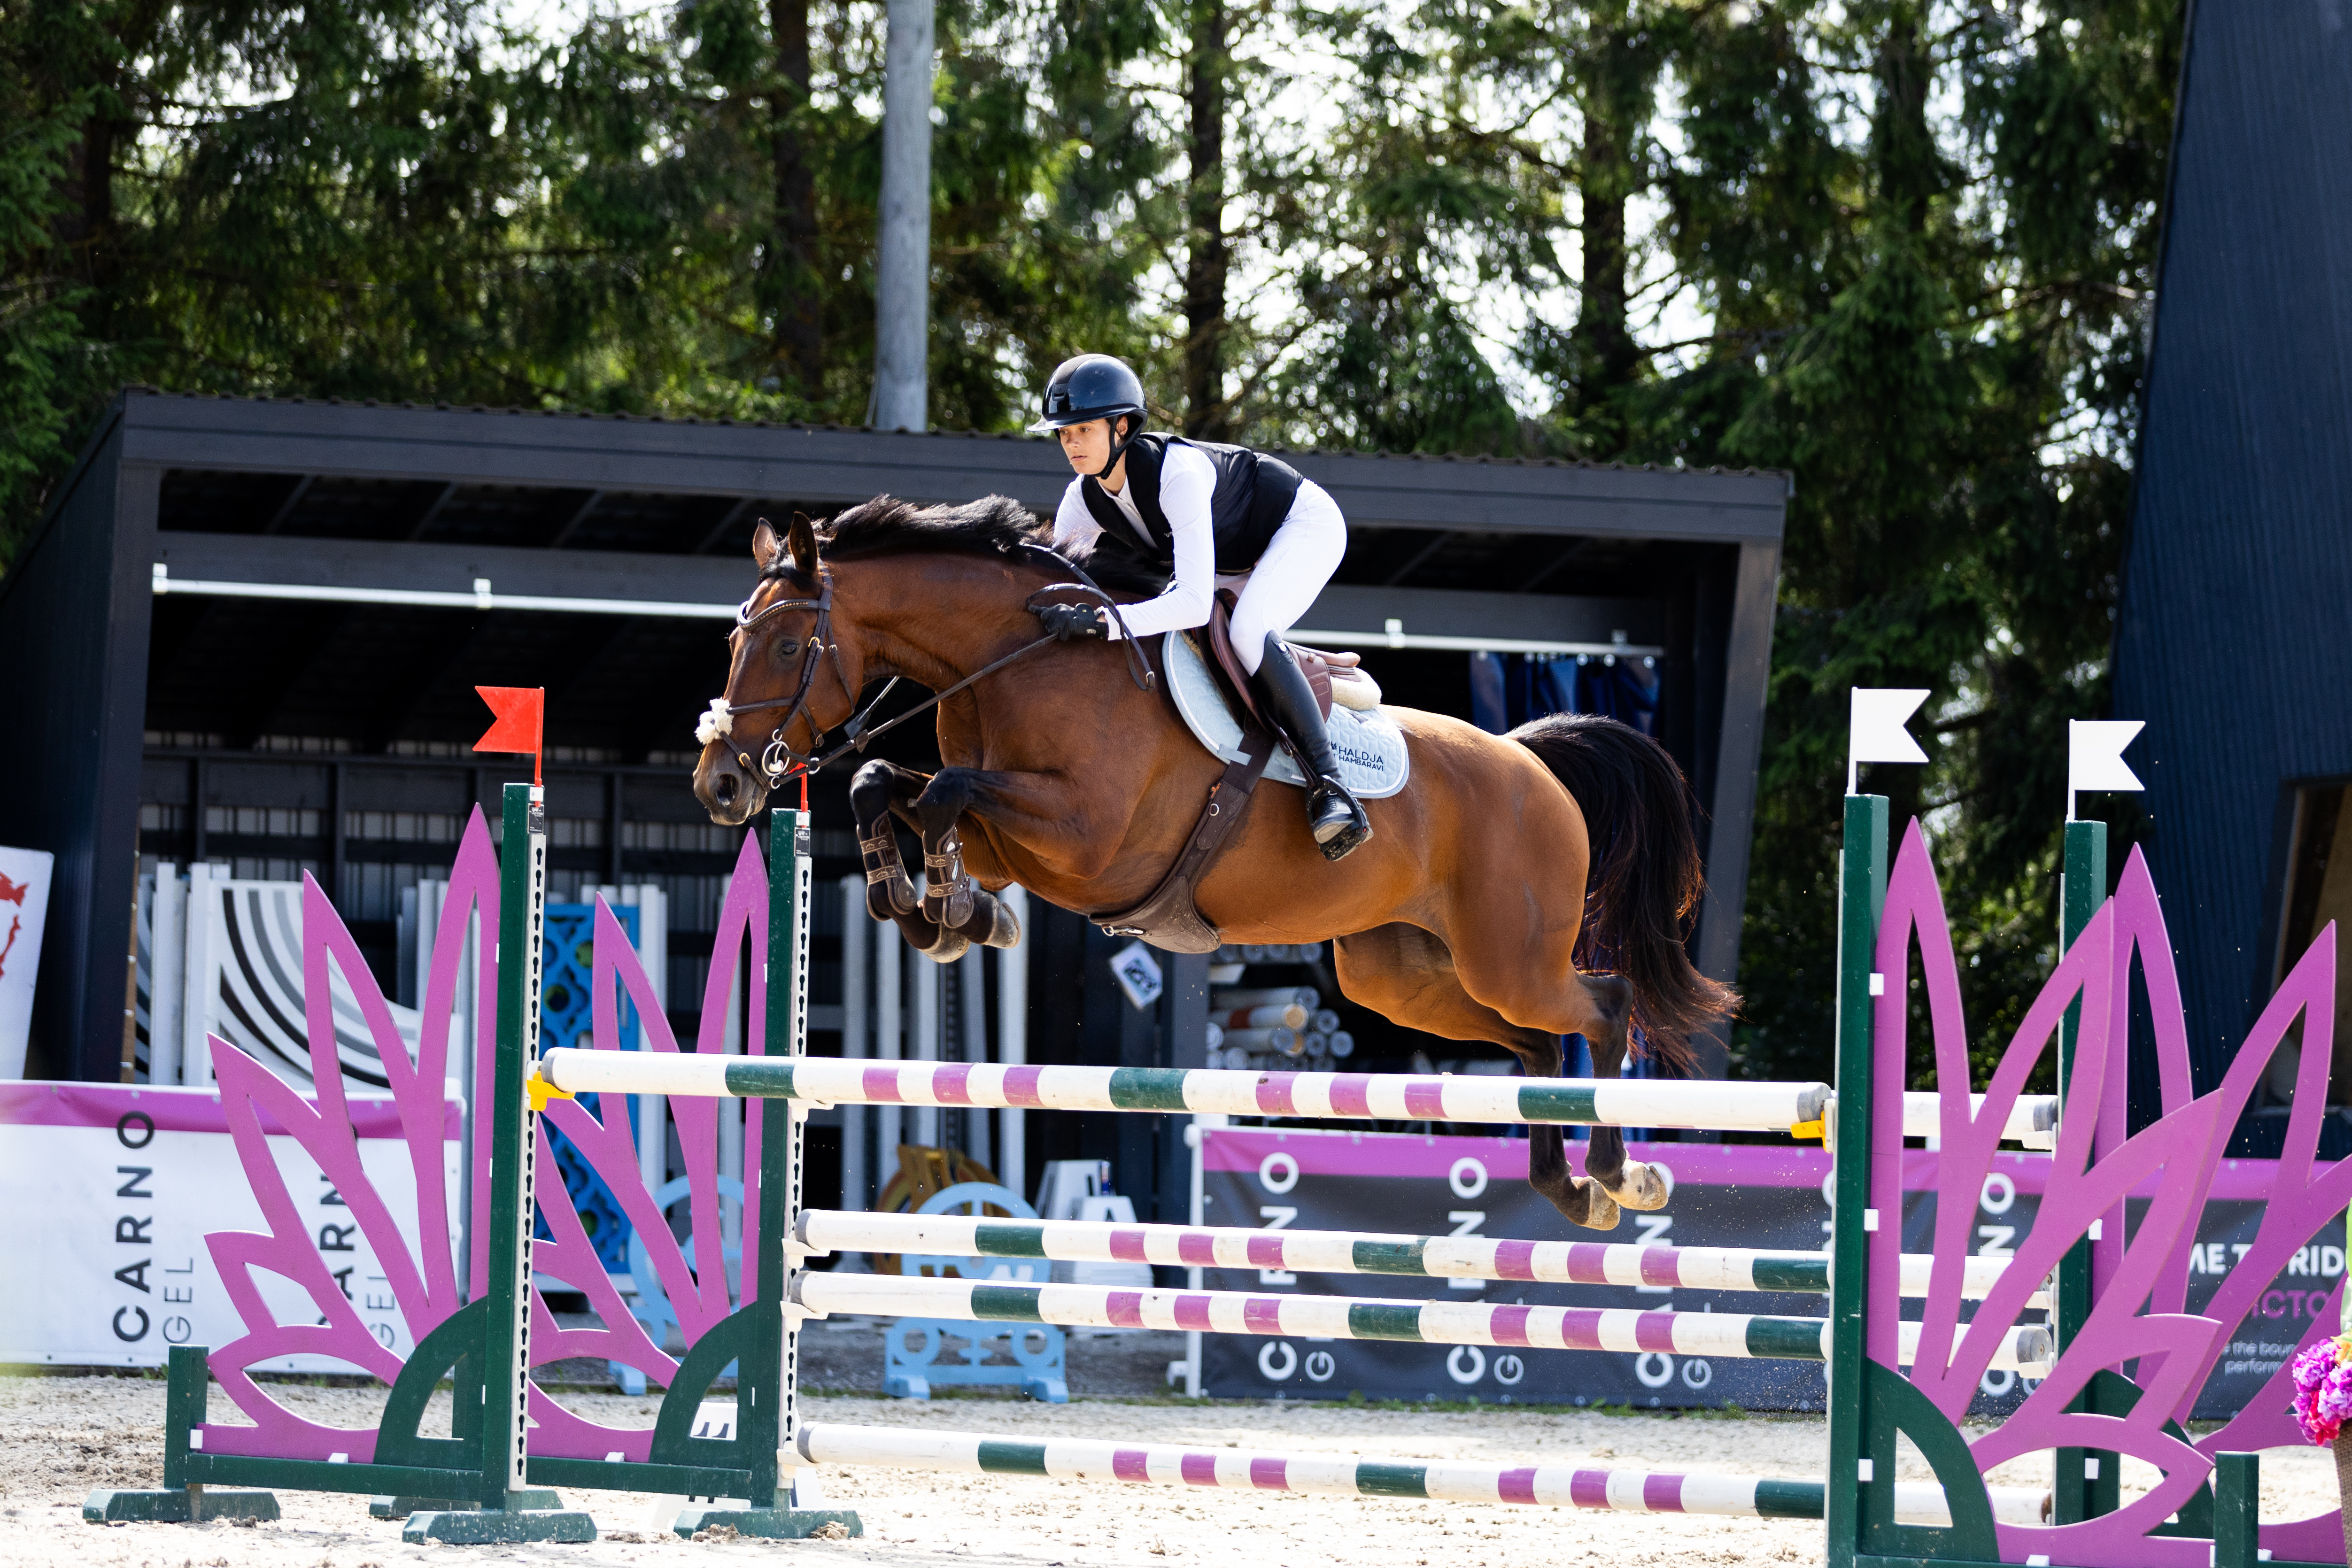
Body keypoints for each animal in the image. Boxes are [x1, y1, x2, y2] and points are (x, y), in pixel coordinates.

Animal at [691, 495, 1737, 1231]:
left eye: (787, 641)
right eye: (736, 637)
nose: (721, 784)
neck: (1014, 661)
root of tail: (1529, 758)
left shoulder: (1082, 837)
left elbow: (946, 791)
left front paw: (948, 910)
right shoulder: (1017, 834)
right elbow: (888, 782)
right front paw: (936, 906)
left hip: (1508, 955)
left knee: (1601, 1006)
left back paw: (1617, 1174)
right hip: (1405, 974)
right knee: (1533, 1050)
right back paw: (1570, 1188)